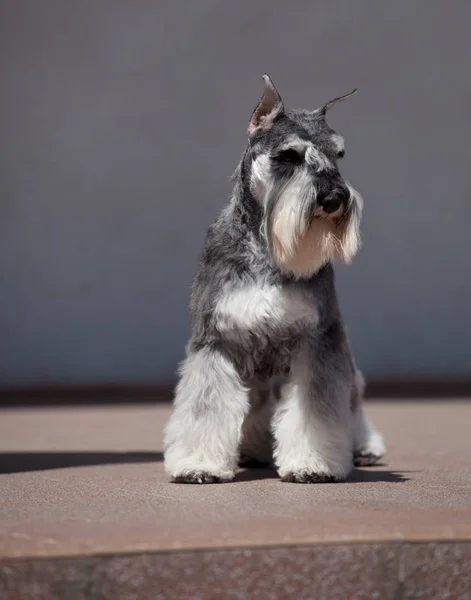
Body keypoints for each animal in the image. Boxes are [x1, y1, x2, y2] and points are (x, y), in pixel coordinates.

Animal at [164, 74, 386, 482]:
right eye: (289, 156)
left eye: (338, 155)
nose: (334, 197)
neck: (266, 249)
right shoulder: (215, 340)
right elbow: (205, 406)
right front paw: (198, 464)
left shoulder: (317, 343)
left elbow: (316, 411)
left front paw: (313, 463)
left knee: (353, 405)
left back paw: (365, 447)